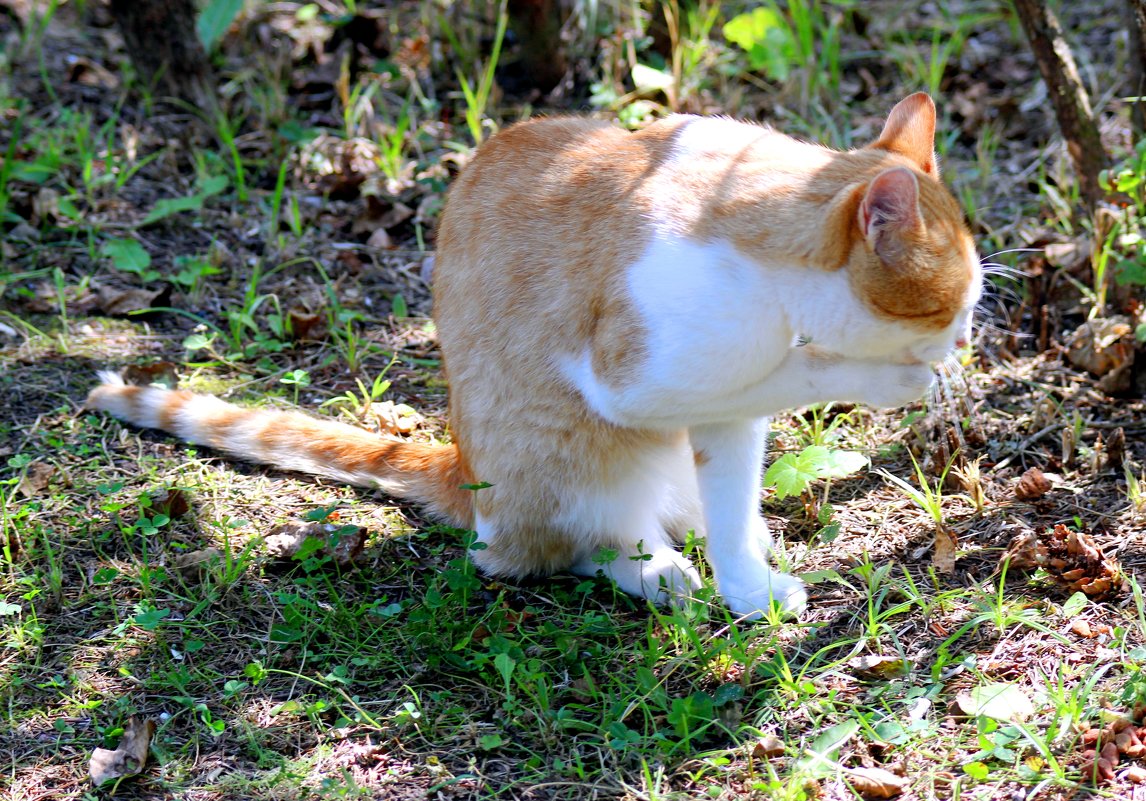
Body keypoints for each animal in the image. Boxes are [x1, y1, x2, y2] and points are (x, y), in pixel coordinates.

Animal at [91, 95, 985, 618]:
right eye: (956, 306)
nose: (965, 344)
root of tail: (459, 462)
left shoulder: (724, 412)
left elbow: (733, 493)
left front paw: (747, 582)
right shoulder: (638, 383)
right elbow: (794, 371)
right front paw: (894, 378)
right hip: (575, 455)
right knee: (559, 547)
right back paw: (654, 568)